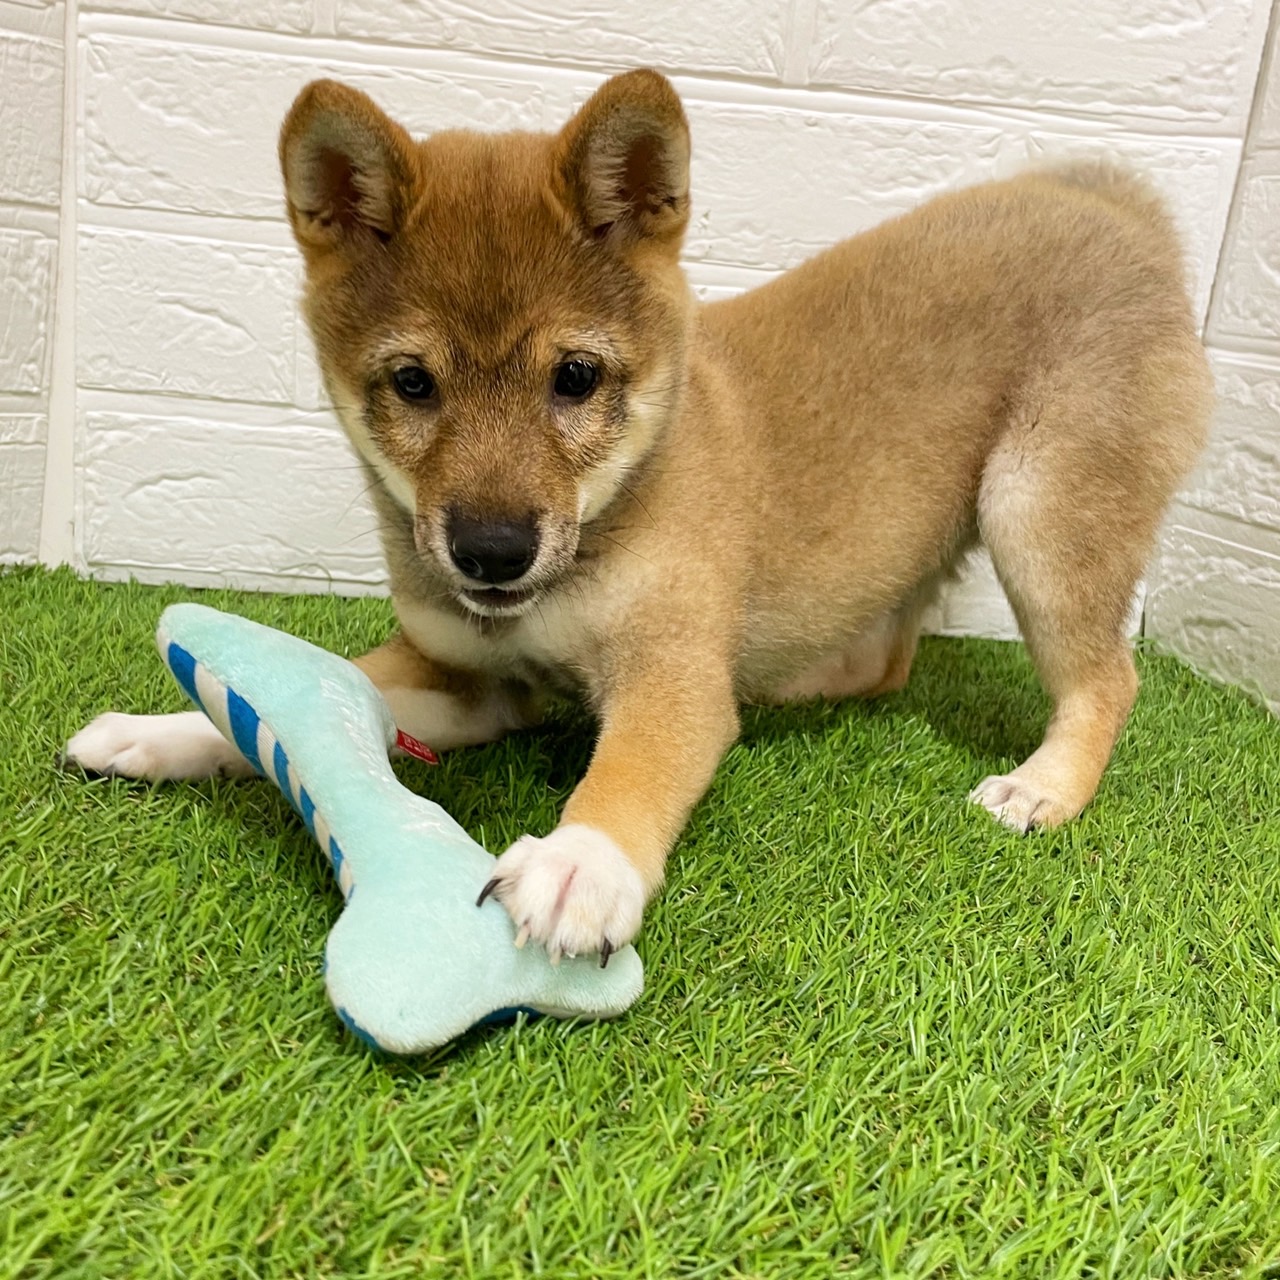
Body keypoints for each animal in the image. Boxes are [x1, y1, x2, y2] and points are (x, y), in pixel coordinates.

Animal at [66, 69, 1212, 963]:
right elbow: (320, 682)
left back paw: (1044, 788)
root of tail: (1125, 216)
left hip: (1037, 513)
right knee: (886, 658)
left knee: (1106, 679)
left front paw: (581, 862)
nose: (489, 552)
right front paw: (164, 731)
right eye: (411, 383)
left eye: (575, 377)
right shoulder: (469, 679)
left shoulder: (667, 680)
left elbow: (630, 769)